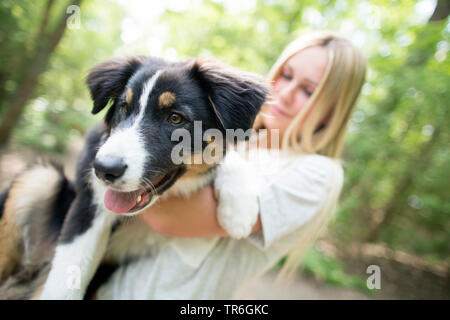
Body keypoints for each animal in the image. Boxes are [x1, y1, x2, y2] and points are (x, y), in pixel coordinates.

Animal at [0, 56, 268, 298]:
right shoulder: (88, 204)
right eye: (123, 107)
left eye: (176, 118)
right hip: (39, 178)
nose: (103, 169)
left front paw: (239, 211)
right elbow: (64, 281)